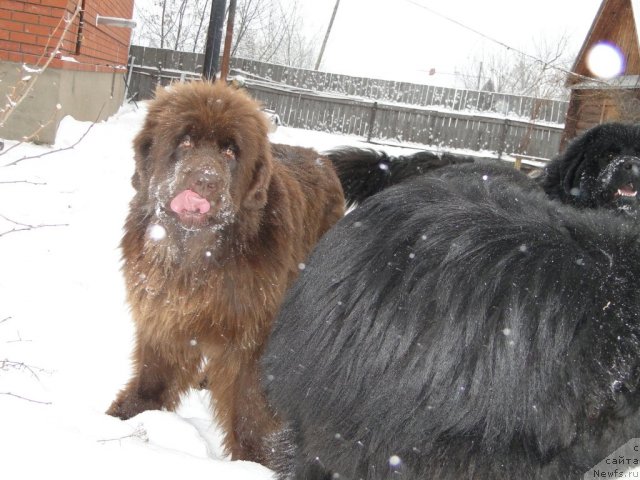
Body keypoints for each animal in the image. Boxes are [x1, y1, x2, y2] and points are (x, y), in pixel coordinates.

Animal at [107, 81, 344, 464]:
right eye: (186, 141)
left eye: (231, 151)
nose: (205, 180)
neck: (196, 257)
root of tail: (320, 158)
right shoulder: (163, 313)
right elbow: (155, 373)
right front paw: (130, 413)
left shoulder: (252, 333)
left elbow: (247, 401)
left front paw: (254, 458)